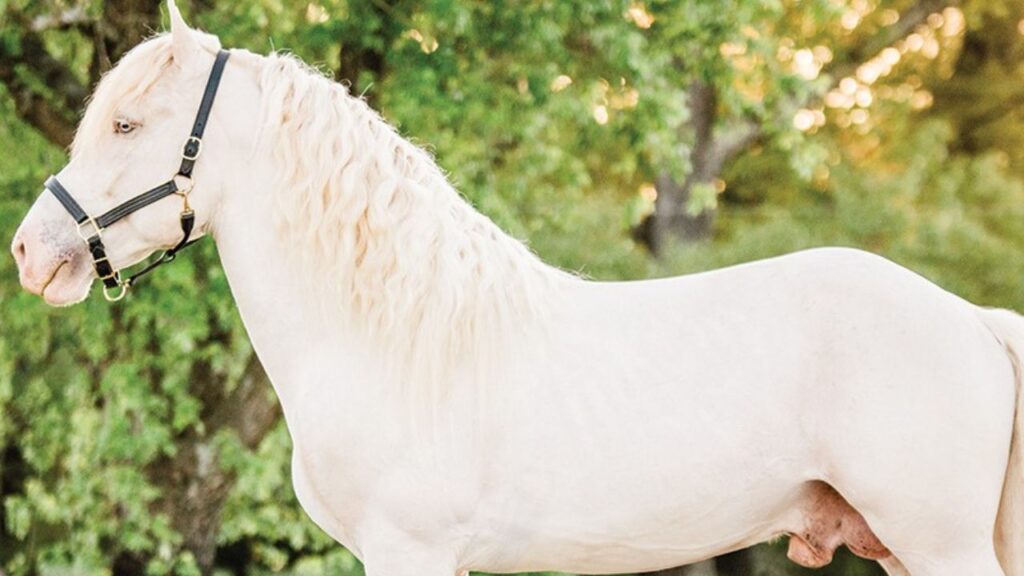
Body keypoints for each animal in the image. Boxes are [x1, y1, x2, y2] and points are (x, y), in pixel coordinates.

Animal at [10, 2, 1023, 574]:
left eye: (127, 123)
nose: (29, 251)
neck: (392, 333)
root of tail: (973, 321)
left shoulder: (408, 554)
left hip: (939, 548)